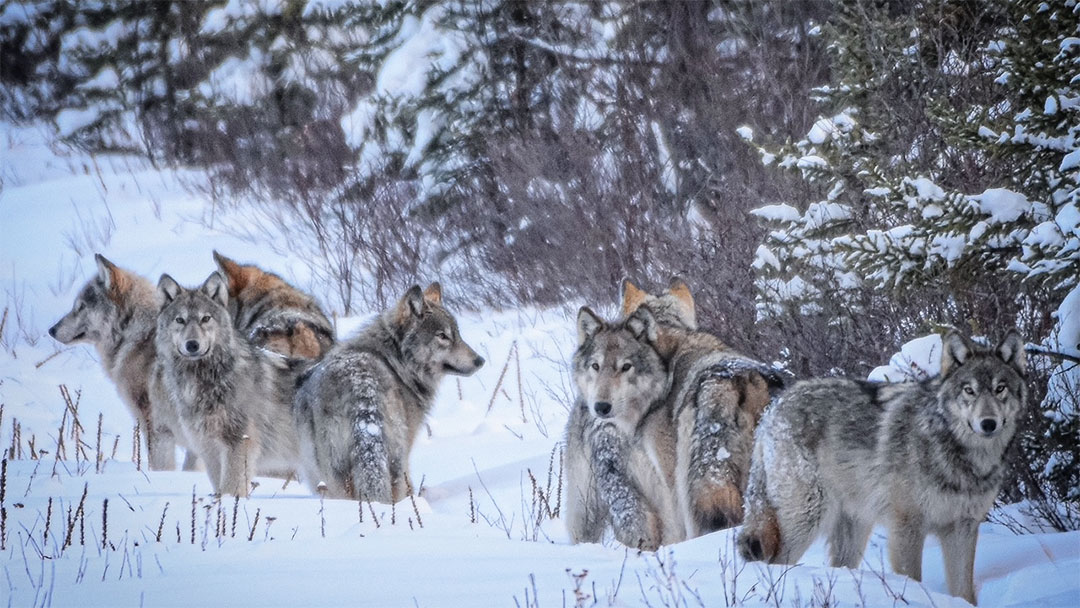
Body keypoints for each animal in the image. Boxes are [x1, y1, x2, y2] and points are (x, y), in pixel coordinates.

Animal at [150, 273, 306, 496]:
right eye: (180, 320)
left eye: (206, 318)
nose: (192, 345)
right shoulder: (209, 448)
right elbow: (220, 487)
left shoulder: (239, 443)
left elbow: (231, 488)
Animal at [293, 285, 483, 505]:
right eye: (443, 336)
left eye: (458, 335)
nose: (480, 360)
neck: (397, 361)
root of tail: (360, 385)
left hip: (332, 478)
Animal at [565, 306, 682, 548]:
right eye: (596, 366)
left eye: (626, 367)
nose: (601, 407)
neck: (631, 429)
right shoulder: (612, 469)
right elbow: (632, 512)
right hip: (585, 504)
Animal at [734, 330, 1028, 604]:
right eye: (970, 390)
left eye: (1000, 388)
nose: (988, 423)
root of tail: (772, 410)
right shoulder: (907, 526)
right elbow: (912, 578)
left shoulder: (962, 528)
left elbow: (964, 590)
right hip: (807, 519)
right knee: (774, 562)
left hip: (853, 530)